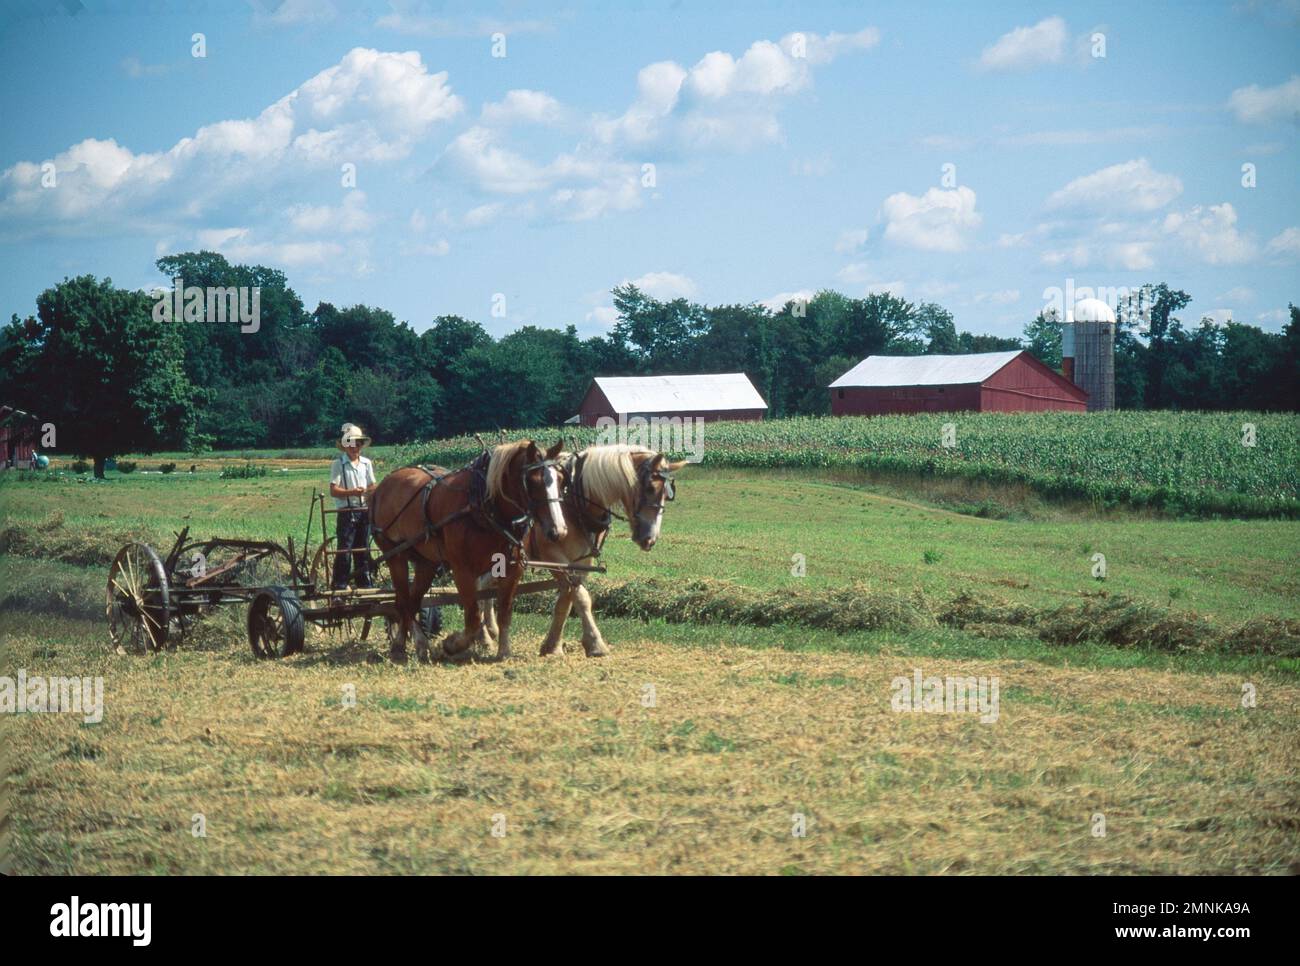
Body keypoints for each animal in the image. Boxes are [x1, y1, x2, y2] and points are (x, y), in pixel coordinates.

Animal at [369, 439, 566, 662]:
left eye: (560, 479)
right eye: (532, 481)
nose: (558, 530)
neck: (482, 506)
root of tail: (381, 487)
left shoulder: (512, 569)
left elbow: (504, 613)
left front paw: (503, 651)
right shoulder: (462, 570)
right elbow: (472, 618)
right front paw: (451, 645)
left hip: (426, 563)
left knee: (412, 600)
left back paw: (410, 644)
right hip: (395, 556)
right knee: (402, 600)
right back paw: (408, 644)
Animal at [481, 444, 686, 657]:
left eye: (668, 494)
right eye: (650, 488)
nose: (650, 539)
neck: (573, 501)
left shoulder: (582, 559)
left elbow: (568, 597)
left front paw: (553, 645)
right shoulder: (552, 555)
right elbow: (578, 596)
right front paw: (595, 644)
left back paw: (490, 631)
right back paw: (485, 636)